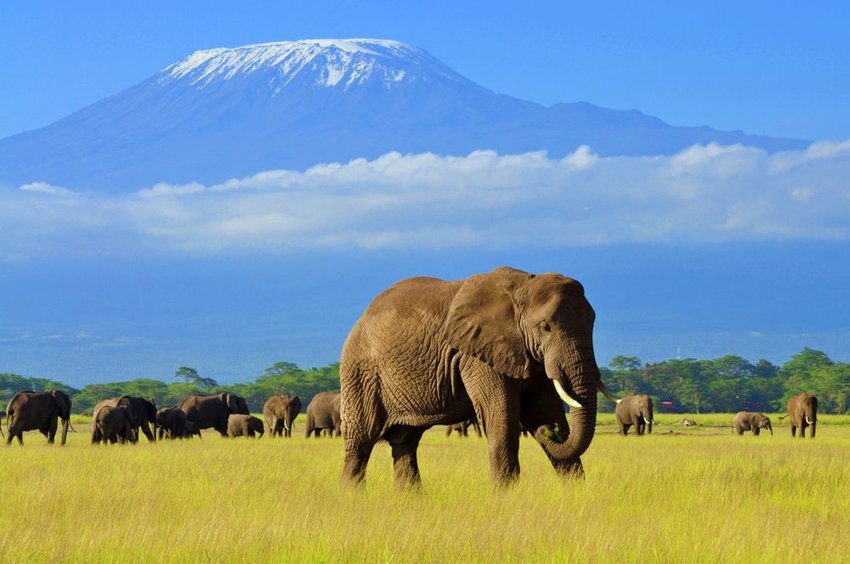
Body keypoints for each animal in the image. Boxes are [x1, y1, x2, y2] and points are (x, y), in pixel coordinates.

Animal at [334, 266, 612, 486]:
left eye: (593, 323)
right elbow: (502, 419)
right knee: (360, 443)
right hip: (361, 373)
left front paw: (575, 492)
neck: (522, 286)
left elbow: (544, 410)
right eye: (546, 327)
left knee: (405, 443)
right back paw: (352, 498)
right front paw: (506, 497)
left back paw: (411, 500)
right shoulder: (477, 354)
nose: (549, 433)